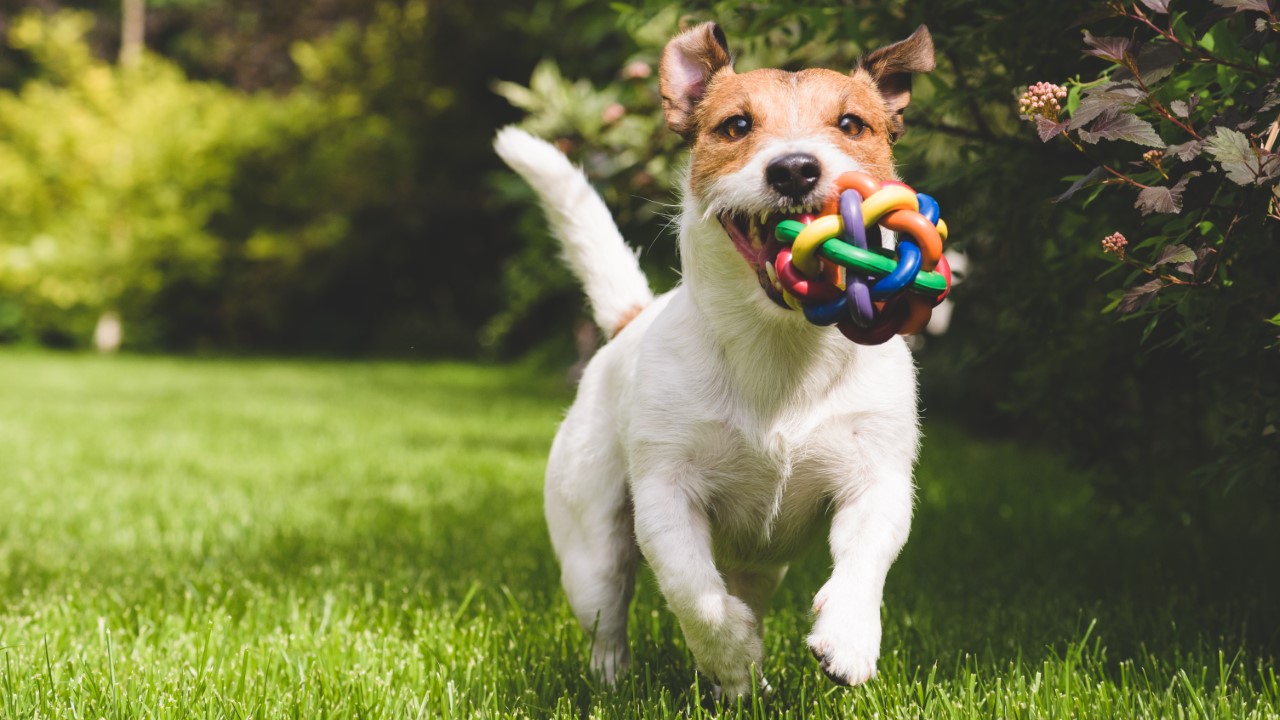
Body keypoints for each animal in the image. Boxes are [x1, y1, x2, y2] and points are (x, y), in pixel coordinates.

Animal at [494, 20, 936, 696]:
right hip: (591, 545)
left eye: (851, 123)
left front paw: (849, 638)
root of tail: (631, 319)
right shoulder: (665, 494)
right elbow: (692, 592)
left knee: (747, 588)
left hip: (763, 564)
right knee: (609, 614)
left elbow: (865, 559)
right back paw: (628, 678)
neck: (779, 346)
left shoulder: (876, 477)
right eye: (736, 125)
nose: (795, 168)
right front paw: (730, 653)